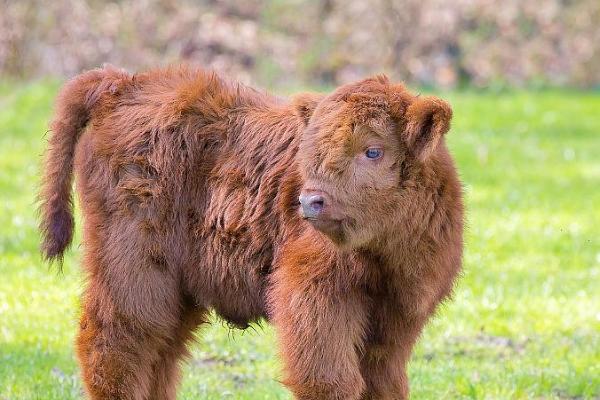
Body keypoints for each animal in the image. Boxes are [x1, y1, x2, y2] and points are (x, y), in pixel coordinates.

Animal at [38, 64, 464, 398]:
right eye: (311, 150)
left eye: (373, 150)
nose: (310, 200)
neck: (386, 255)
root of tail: (124, 84)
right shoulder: (315, 297)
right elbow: (329, 379)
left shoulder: (399, 317)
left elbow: (383, 382)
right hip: (135, 268)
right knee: (118, 342)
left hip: (179, 287)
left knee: (161, 353)